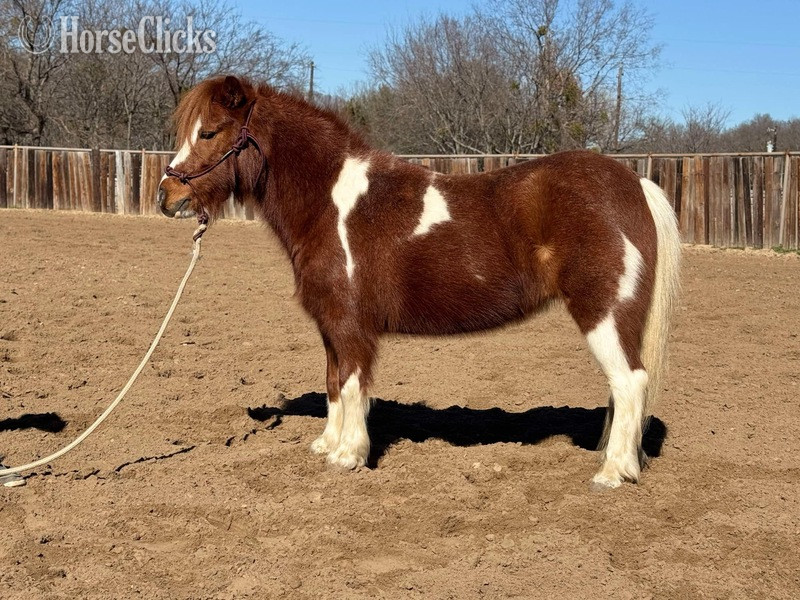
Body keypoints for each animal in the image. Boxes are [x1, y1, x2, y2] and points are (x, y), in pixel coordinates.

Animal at [158, 75, 681, 490]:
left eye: (209, 131)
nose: (167, 195)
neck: (331, 203)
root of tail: (635, 184)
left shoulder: (351, 326)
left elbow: (352, 385)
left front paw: (349, 455)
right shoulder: (330, 325)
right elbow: (332, 383)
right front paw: (326, 445)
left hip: (604, 314)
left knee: (630, 382)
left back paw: (612, 473)